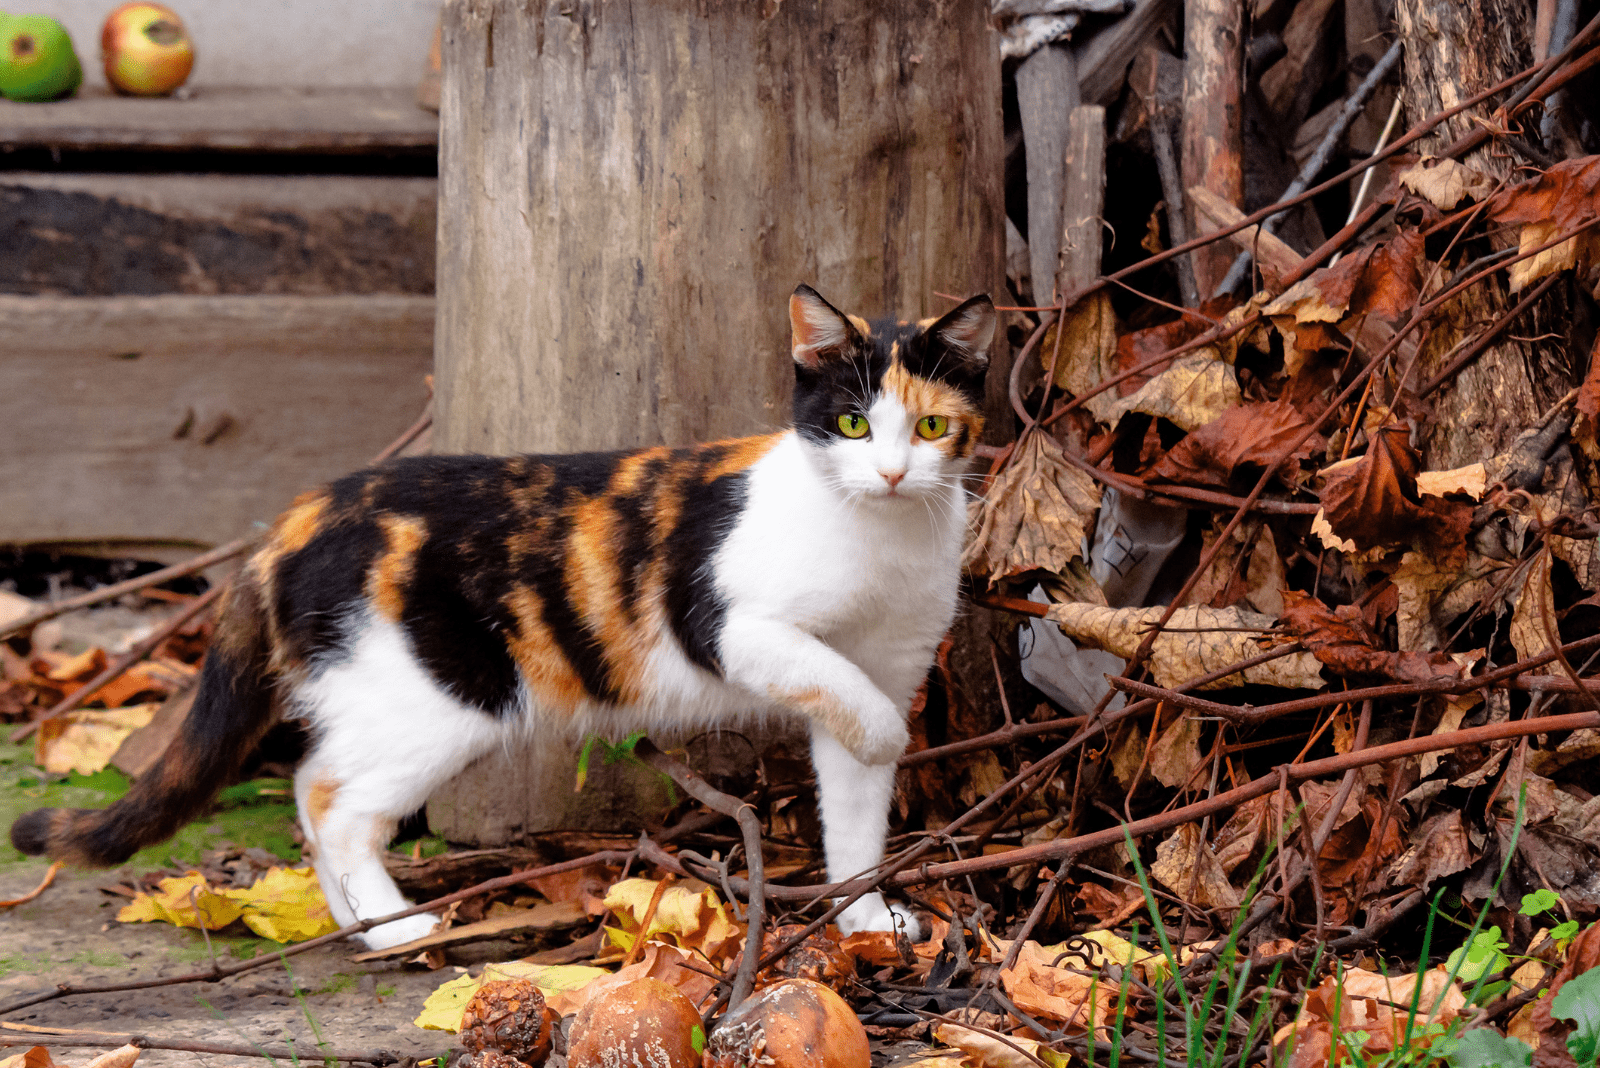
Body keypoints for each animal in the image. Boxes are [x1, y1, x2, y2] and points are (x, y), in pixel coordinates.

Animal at [9, 286, 985, 952]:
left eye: (932, 426)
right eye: (852, 424)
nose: (893, 473)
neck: (881, 537)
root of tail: (295, 518)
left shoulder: (887, 656)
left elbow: (855, 809)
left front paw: (866, 916)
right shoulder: (734, 628)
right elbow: (856, 709)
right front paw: (888, 738)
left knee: (310, 785)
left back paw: (360, 929)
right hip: (438, 697)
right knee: (330, 801)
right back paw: (399, 929)